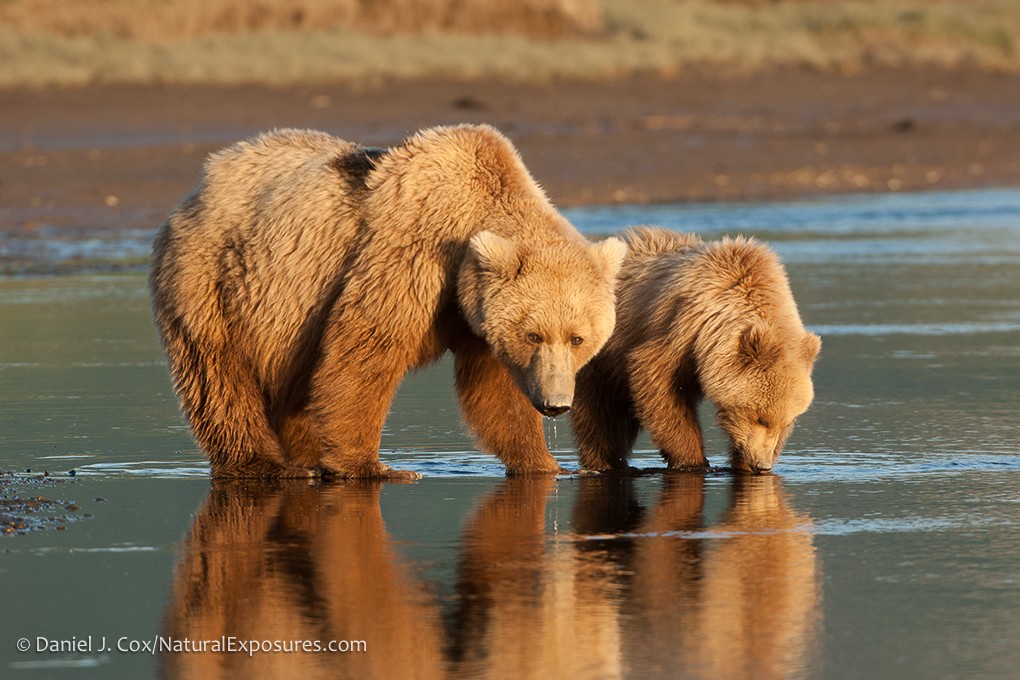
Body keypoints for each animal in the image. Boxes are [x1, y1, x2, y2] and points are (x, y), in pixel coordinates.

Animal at [150, 124, 626, 480]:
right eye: (534, 335)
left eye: (578, 338)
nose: (555, 404)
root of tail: (199, 187)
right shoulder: (410, 255)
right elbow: (365, 351)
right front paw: (376, 467)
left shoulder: (474, 314)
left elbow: (493, 390)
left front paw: (546, 464)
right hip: (215, 281)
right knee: (217, 377)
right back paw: (265, 464)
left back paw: (304, 457)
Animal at [570, 227, 820, 474]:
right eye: (760, 418)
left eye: (786, 421)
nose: (762, 465)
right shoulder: (683, 325)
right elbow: (656, 380)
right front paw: (692, 459)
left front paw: (741, 462)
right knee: (600, 413)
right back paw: (604, 460)